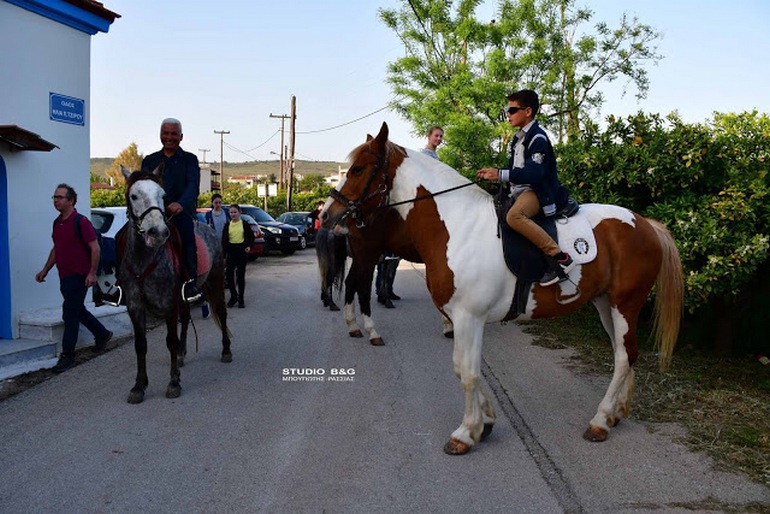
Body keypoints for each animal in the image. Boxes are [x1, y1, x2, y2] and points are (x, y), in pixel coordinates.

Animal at [118, 166, 232, 404]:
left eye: (163, 195)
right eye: (134, 196)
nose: (158, 232)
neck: (144, 260)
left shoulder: (168, 302)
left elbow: (170, 339)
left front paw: (173, 383)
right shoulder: (135, 305)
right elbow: (140, 344)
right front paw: (139, 386)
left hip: (215, 279)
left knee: (221, 311)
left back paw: (226, 350)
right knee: (186, 317)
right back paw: (181, 354)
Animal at [324, 122, 683, 454]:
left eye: (358, 169)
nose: (328, 214)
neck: (455, 225)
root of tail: (646, 224)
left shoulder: (468, 317)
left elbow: (468, 373)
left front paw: (465, 433)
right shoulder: (464, 318)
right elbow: (466, 369)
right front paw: (484, 422)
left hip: (625, 302)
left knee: (623, 356)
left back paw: (599, 421)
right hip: (606, 303)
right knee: (626, 352)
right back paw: (615, 413)